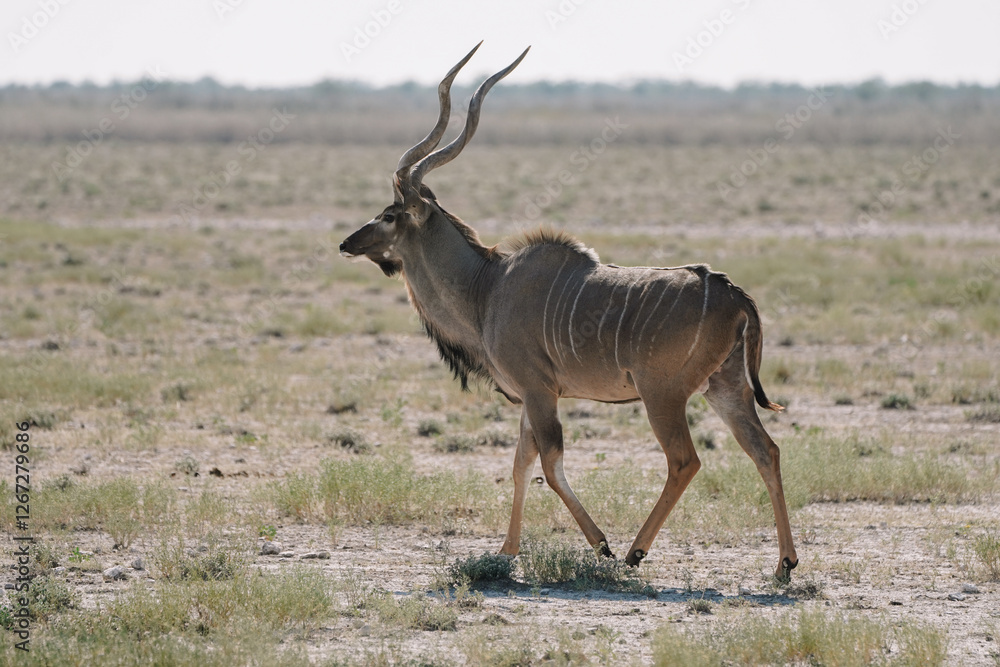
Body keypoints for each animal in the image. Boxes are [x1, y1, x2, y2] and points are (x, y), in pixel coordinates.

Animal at [339, 43, 799, 581]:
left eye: (390, 214)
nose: (347, 243)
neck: (486, 287)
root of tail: (733, 293)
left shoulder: (540, 392)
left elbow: (550, 465)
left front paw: (601, 545)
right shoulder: (528, 396)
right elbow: (520, 464)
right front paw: (506, 551)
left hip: (663, 394)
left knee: (685, 460)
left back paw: (635, 552)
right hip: (724, 388)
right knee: (766, 450)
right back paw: (785, 562)